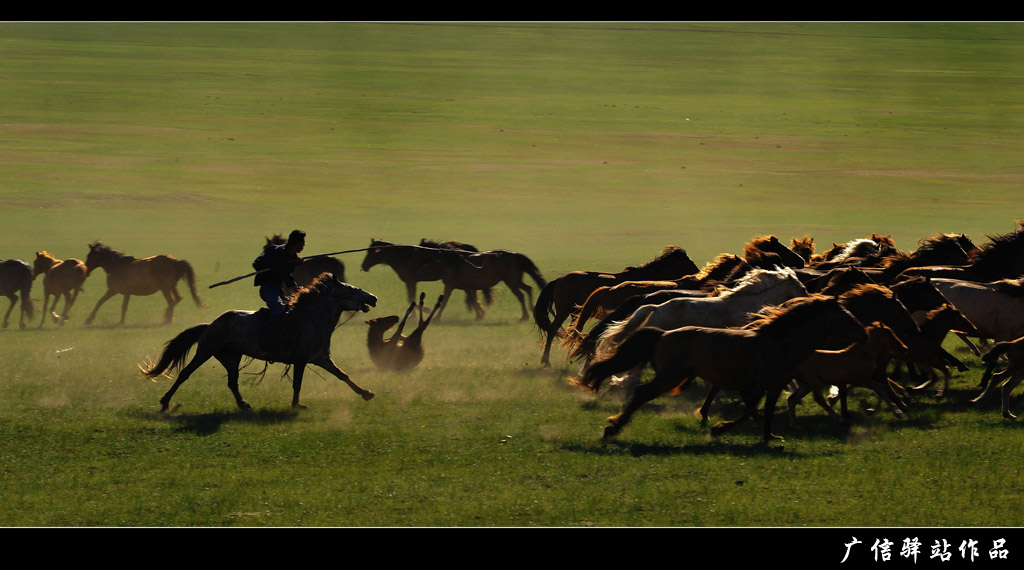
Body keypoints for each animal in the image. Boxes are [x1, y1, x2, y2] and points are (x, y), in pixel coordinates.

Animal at [142, 272, 378, 409]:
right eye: (351, 289)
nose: (373, 297)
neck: (311, 318)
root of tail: (210, 325)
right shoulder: (301, 360)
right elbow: (298, 383)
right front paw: (296, 406)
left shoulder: (321, 358)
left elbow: (343, 375)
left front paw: (366, 393)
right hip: (205, 351)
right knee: (185, 373)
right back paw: (165, 401)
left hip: (231, 357)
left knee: (232, 381)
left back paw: (243, 404)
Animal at [532, 246, 700, 366]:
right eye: (689, 262)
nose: (698, 274)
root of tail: (559, 280)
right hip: (564, 311)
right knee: (553, 330)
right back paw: (546, 361)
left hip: (574, 313)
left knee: (571, 332)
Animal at [573, 294, 868, 442]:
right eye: (844, 316)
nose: (864, 333)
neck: (778, 342)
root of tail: (662, 334)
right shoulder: (757, 385)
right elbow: (750, 410)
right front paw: (719, 428)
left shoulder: (770, 385)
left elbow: (763, 411)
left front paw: (769, 436)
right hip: (670, 376)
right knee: (642, 393)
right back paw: (613, 428)